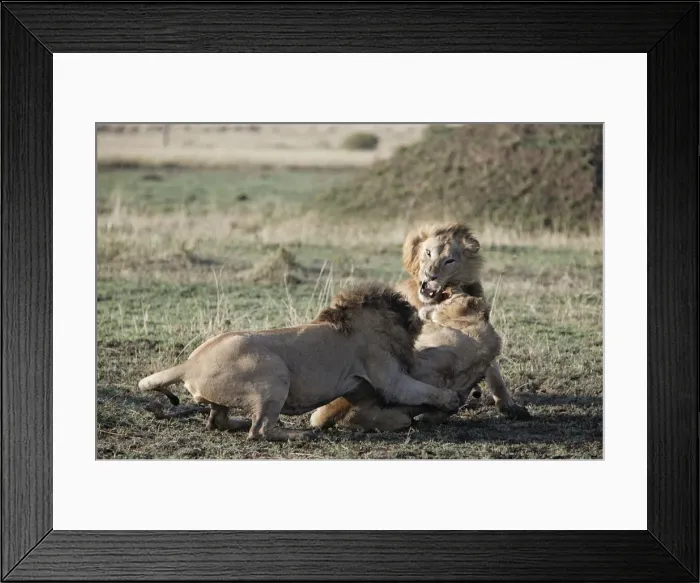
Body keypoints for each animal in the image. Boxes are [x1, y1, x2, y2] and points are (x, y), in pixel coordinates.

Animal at [137, 282, 460, 441]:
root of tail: (189, 364)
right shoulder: (388, 378)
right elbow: (423, 390)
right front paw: (452, 399)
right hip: (274, 374)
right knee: (260, 431)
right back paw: (300, 434)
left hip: (230, 396)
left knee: (218, 421)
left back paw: (240, 422)